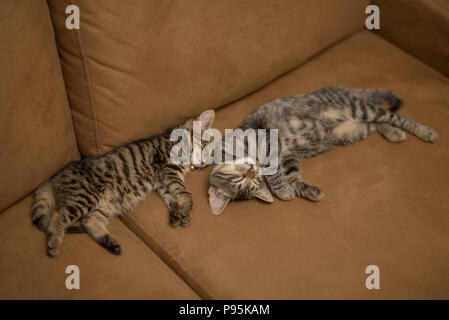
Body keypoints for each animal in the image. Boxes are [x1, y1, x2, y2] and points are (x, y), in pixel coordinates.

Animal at [32, 110, 214, 258]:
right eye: (205, 147)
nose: (205, 163)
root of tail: (54, 177)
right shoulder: (168, 170)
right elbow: (184, 193)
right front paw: (186, 208)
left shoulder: (162, 181)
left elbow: (172, 196)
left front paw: (177, 211)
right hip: (86, 197)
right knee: (59, 217)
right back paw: (54, 243)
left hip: (105, 204)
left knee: (89, 222)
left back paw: (110, 242)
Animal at [209, 87, 438, 215]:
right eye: (249, 183)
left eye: (243, 180)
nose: (252, 171)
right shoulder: (289, 157)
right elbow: (292, 178)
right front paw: (305, 191)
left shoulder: (267, 139)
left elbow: (275, 173)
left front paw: (282, 189)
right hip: (352, 130)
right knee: (376, 124)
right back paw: (393, 133)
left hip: (359, 109)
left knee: (396, 117)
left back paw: (424, 131)